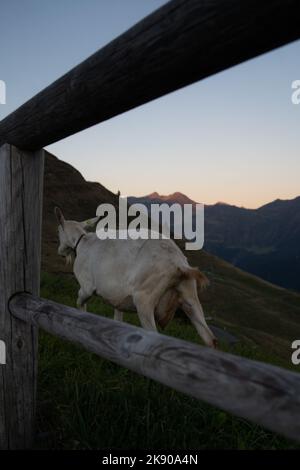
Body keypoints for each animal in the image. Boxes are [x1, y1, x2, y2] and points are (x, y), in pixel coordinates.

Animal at [55, 207, 217, 346]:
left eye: (59, 230)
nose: (60, 252)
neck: (82, 242)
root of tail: (179, 263)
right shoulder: (118, 299)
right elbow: (117, 320)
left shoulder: (86, 287)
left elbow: (80, 305)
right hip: (190, 296)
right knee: (210, 338)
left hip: (144, 298)